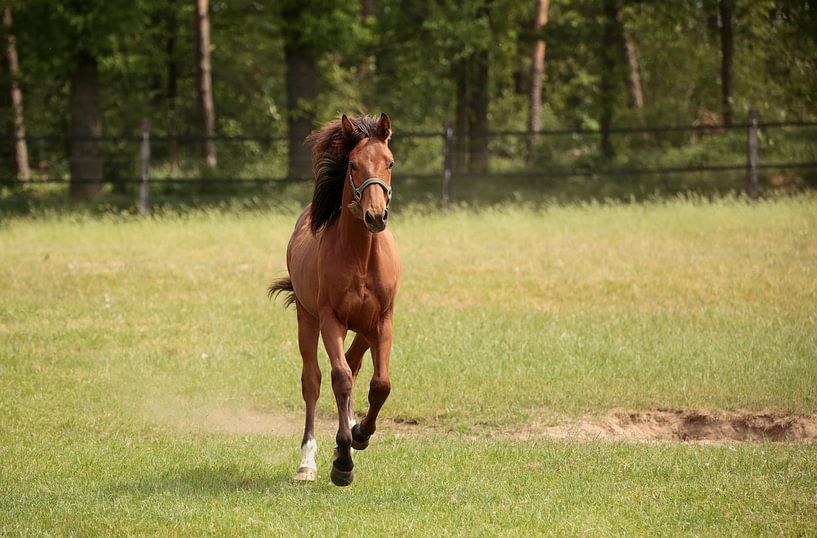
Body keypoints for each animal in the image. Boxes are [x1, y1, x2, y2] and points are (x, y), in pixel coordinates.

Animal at [268, 113, 400, 487]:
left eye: (390, 162)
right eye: (353, 165)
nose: (375, 216)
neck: (360, 256)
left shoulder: (382, 321)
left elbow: (380, 384)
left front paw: (360, 435)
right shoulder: (331, 320)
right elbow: (338, 379)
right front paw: (342, 460)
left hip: (365, 328)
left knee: (355, 366)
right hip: (307, 318)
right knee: (312, 381)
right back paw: (308, 462)